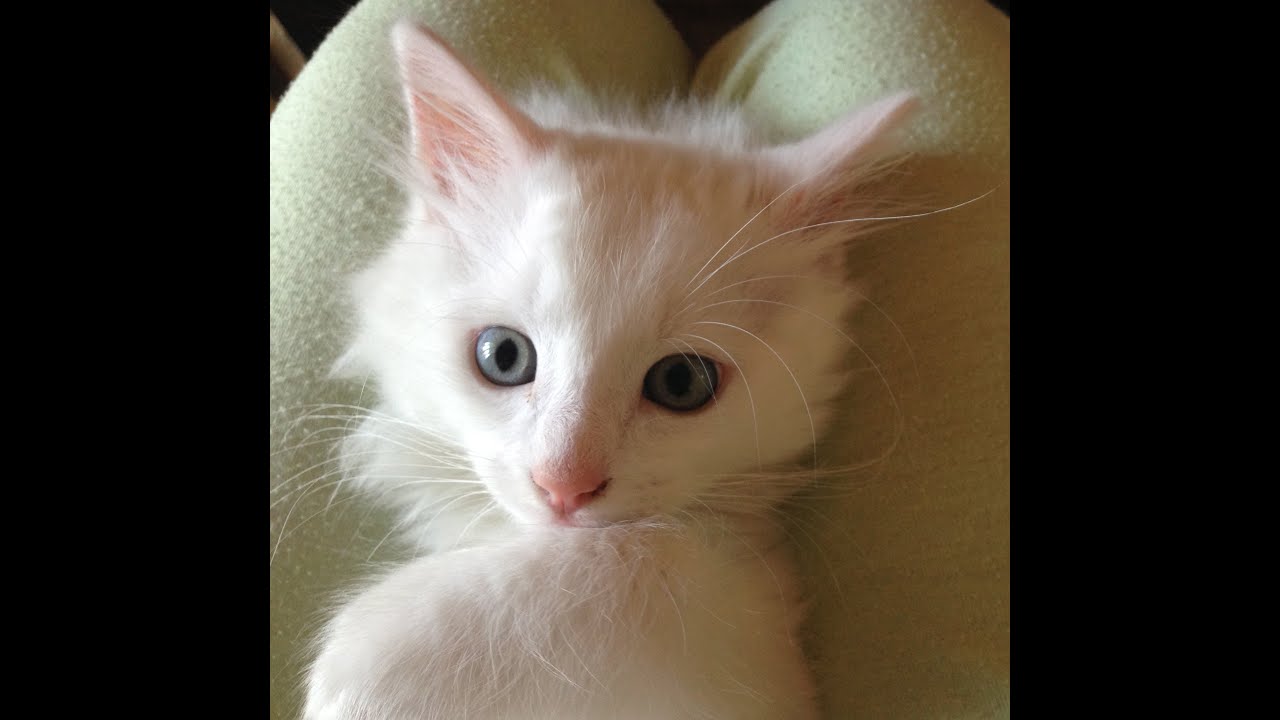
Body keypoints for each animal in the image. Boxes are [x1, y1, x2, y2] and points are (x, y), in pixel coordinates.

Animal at [304, 19, 916, 717]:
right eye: (504, 357)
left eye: (681, 383)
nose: (562, 486)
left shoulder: (760, 649)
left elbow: (630, 550)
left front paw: (353, 676)